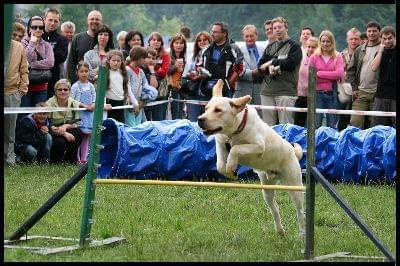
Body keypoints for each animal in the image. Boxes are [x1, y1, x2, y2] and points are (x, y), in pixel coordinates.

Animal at [198, 79, 306, 237]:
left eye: (218, 110)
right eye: (206, 108)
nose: (200, 119)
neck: (235, 131)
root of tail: (293, 152)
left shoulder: (259, 146)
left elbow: (235, 149)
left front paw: (231, 166)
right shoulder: (220, 142)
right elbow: (219, 164)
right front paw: (231, 173)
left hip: (294, 186)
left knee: (300, 212)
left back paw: (302, 234)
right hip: (267, 189)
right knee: (275, 208)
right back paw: (280, 230)